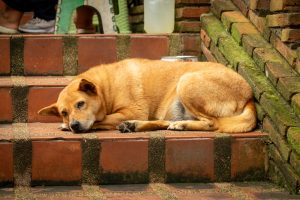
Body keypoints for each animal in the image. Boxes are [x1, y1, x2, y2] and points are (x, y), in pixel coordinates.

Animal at [38, 57, 256, 134]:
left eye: (81, 104)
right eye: (64, 112)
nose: (74, 125)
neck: (107, 88)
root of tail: (249, 96)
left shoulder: (134, 110)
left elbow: (101, 119)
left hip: (186, 82)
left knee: (212, 123)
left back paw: (182, 125)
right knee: (165, 122)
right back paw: (135, 126)